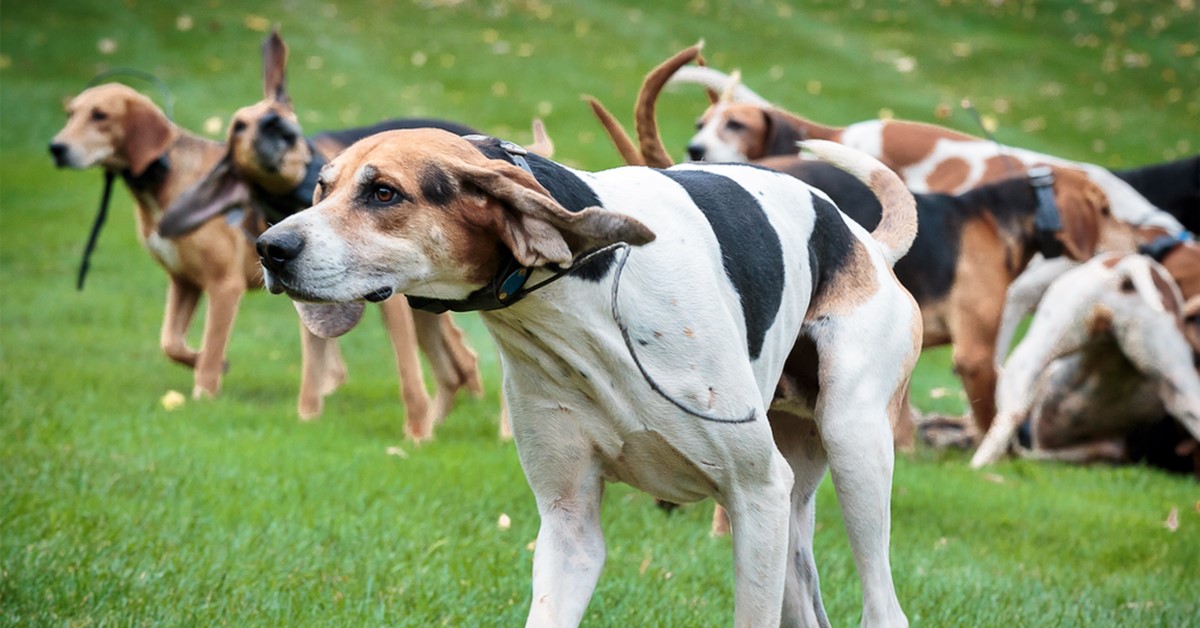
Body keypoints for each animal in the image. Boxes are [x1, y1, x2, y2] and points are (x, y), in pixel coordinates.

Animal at [51, 82, 260, 398]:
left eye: (100, 115)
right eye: (70, 114)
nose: (56, 148)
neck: (166, 173)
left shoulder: (225, 285)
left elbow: (211, 347)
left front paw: (204, 395)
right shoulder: (183, 280)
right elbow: (170, 343)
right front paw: (205, 361)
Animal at [250, 129, 907, 628]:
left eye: (384, 193)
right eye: (322, 187)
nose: (268, 247)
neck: (572, 300)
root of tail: (866, 240)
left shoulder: (755, 494)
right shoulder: (569, 527)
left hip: (850, 452)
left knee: (883, 606)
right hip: (790, 520)